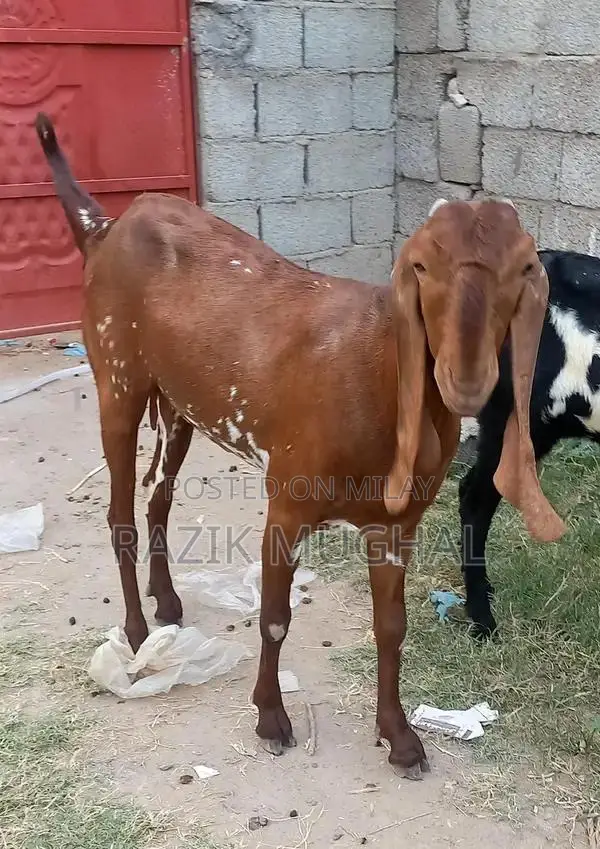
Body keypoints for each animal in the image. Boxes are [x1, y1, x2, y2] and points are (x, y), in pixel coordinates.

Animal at [35, 112, 565, 778]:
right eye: (421, 267)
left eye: (524, 270)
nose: (465, 380)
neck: (377, 370)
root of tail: (107, 228)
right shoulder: (286, 503)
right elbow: (275, 619)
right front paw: (270, 718)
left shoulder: (398, 523)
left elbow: (392, 626)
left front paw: (400, 737)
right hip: (117, 378)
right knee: (120, 512)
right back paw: (135, 630)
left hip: (178, 404)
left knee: (159, 496)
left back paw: (168, 602)